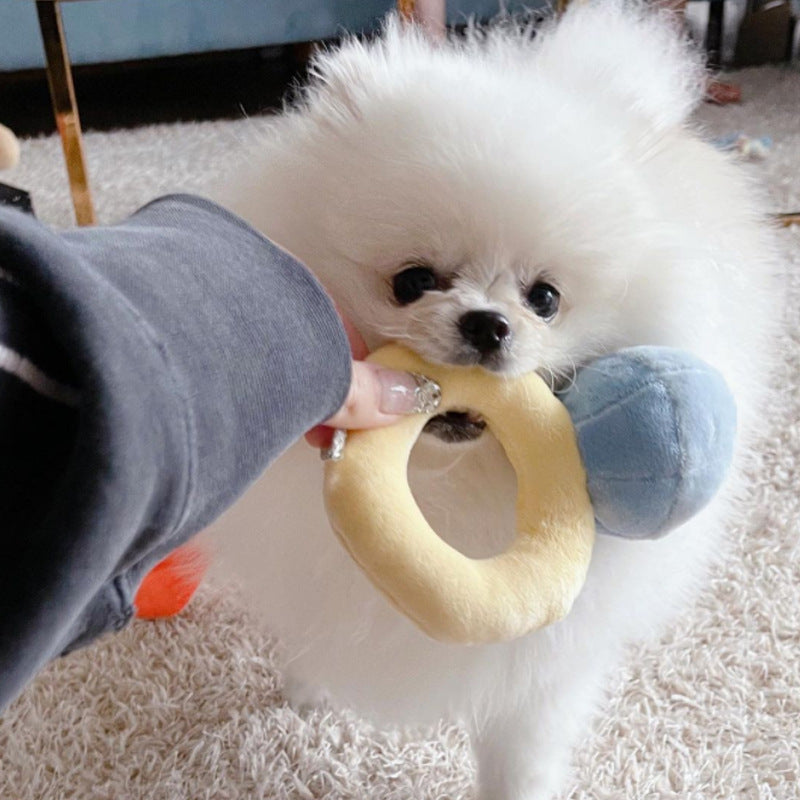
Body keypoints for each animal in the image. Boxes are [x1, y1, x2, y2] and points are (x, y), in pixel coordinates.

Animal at [211, 3, 780, 796]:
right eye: (413, 282)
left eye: (545, 298)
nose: (487, 323)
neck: (451, 486)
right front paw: (307, 691)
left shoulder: (541, 657)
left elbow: (521, 752)